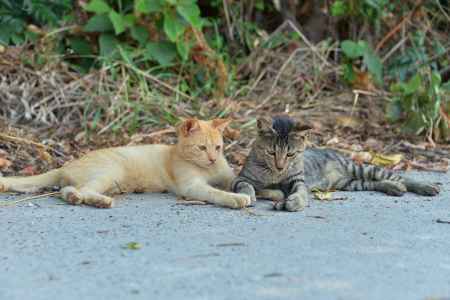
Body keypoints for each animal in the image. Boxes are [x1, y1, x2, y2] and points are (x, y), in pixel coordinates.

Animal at [0, 118, 251, 209]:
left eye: (218, 148)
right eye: (201, 148)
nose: (212, 158)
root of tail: (67, 165)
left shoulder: (228, 175)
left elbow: (238, 180)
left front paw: (247, 190)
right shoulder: (191, 186)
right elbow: (215, 192)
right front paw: (236, 199)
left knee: (67, 189)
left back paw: (76, 198)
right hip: (111, 172)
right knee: (81, 189)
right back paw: (99, 202)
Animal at [232, 115, 440, 211]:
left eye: (291, 154)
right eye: (271, 152)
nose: (280, 166)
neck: (275, 174)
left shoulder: (298, 181)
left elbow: (301, 193)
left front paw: (295, 202)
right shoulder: (241, 178)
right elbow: (246, 186)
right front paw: (248, 196)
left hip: (360, 167)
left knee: (399, 176)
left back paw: (426, 187)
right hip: (350, 183)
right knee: (374, 183)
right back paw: (394, 188)